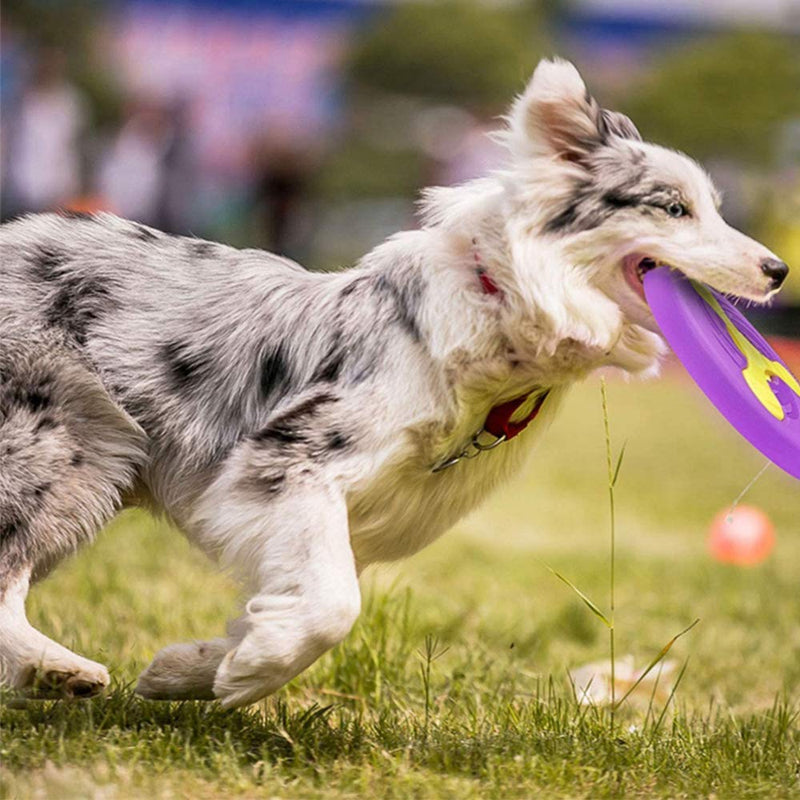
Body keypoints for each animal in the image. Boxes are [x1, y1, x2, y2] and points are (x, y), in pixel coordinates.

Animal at [0, 57, 788, 708]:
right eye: (673, 208)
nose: (780, 270)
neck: (500, 315)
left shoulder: (316, 513)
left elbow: (286, 597)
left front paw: (189, 668)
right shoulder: (288, 460)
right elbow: (332, 607)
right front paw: (250, 674)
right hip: (69, 444)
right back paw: (55, 668)